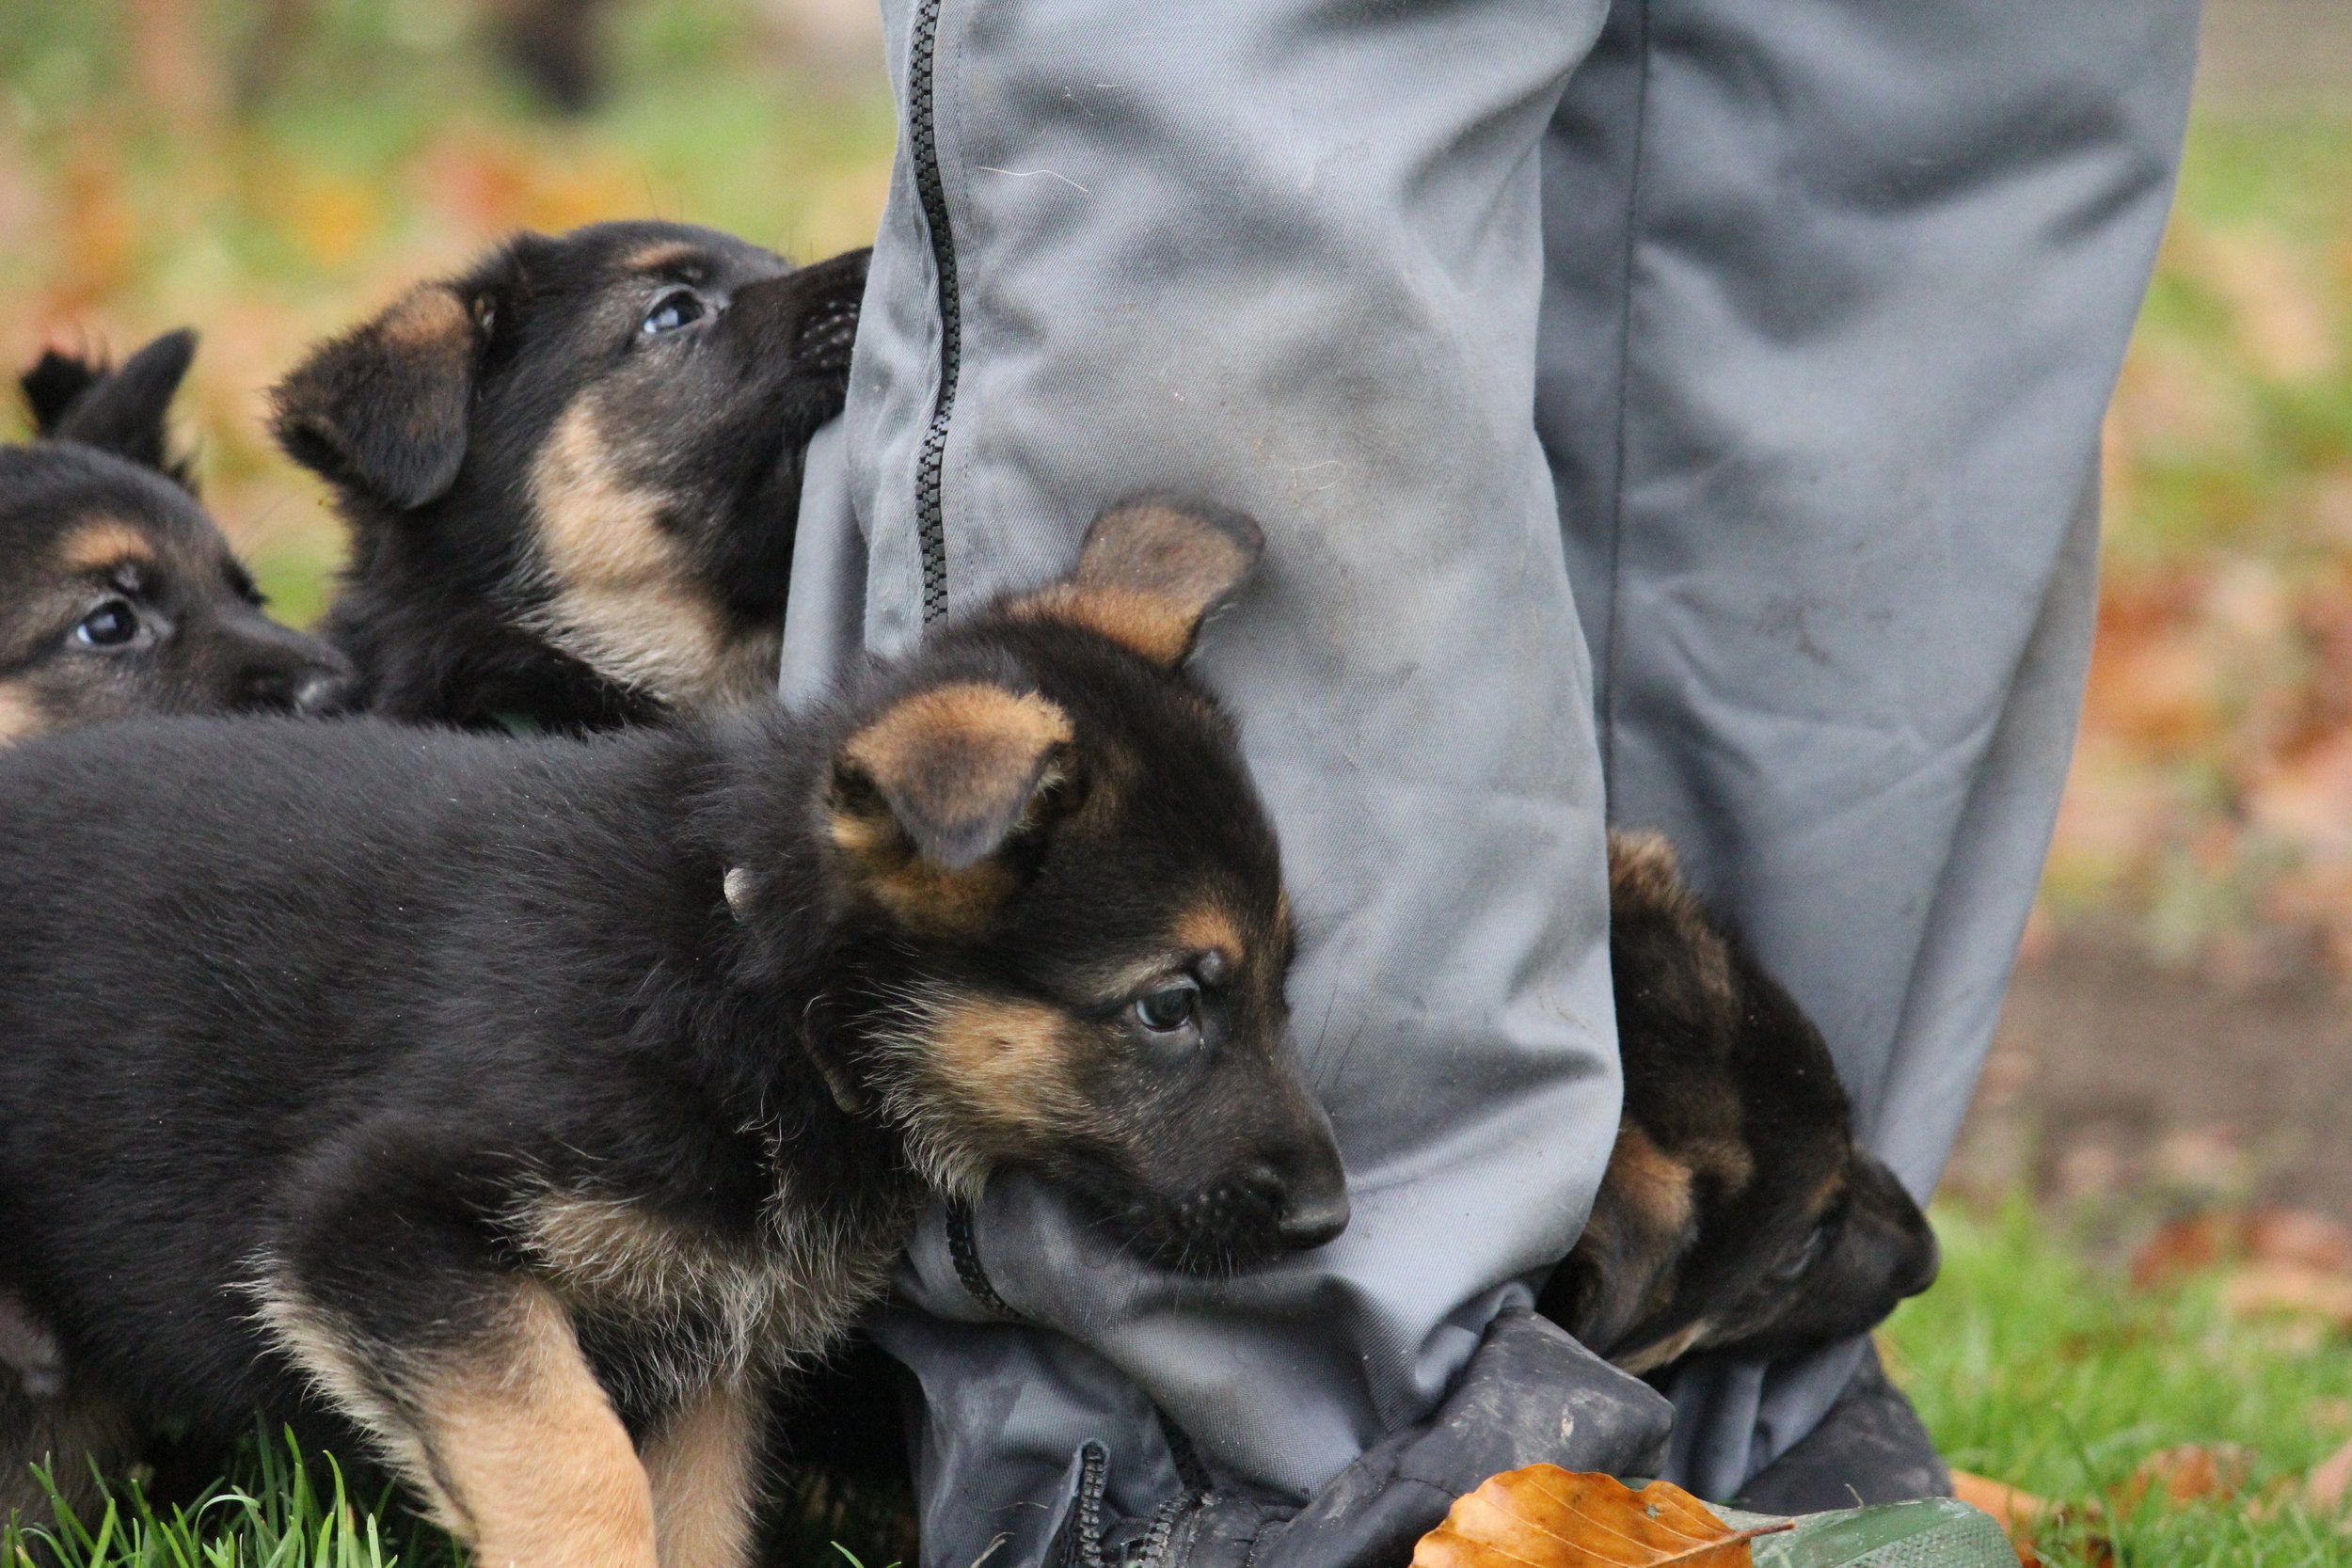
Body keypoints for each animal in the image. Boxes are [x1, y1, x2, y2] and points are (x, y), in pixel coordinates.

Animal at [0, 500, 1345, 1560]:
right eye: (1169, 1004)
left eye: (1281, 977)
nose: (1330, 1218)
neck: (753, 979)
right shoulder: (374, 1227)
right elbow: (579, 1467)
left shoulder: (710, 1356)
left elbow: (694, 1518)